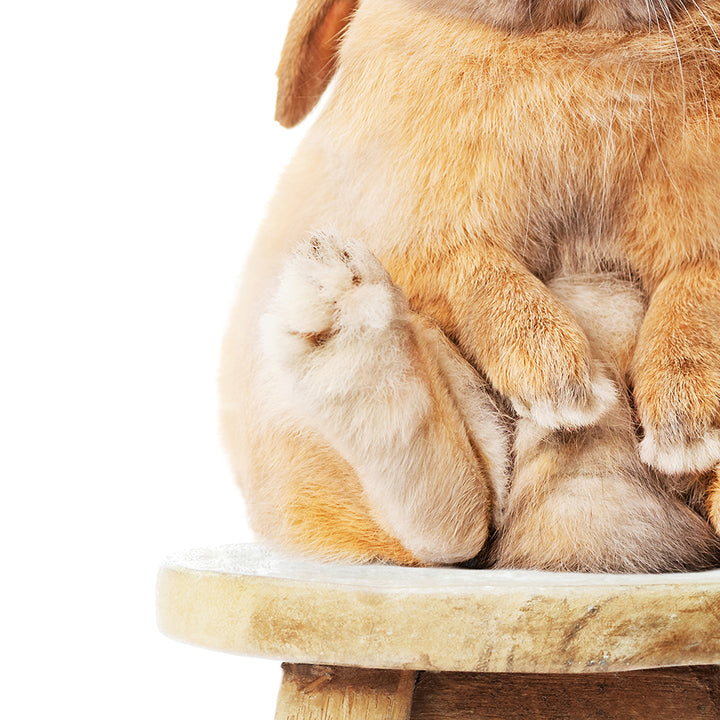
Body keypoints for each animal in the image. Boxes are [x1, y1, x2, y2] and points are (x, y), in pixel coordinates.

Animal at [219, 0, 720, 572]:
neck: (572, 40)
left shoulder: (703, 243)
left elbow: (694, 291)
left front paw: (684, 422)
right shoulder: (417, 226)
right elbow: (478, 271)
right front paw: (558, 382)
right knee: (451, 530)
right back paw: (338, 315)